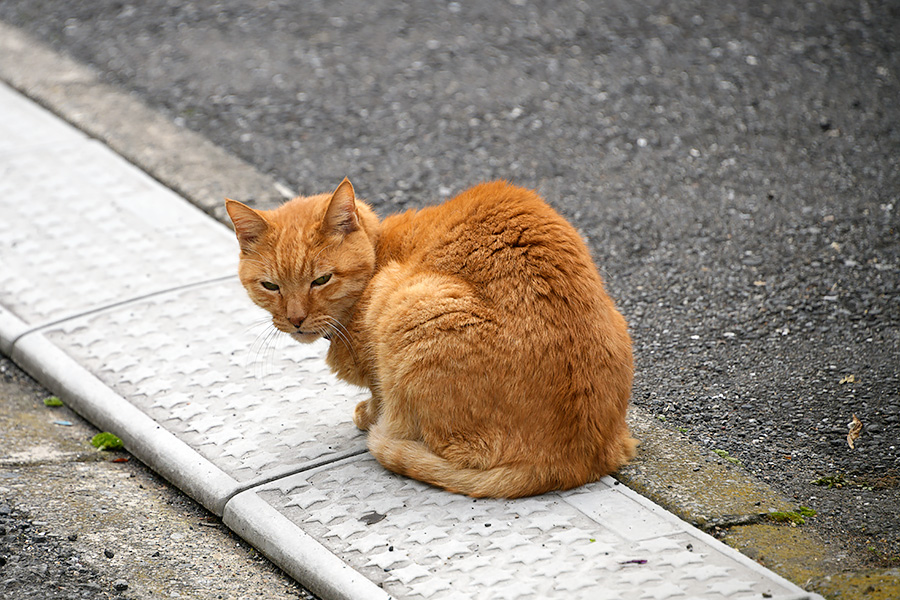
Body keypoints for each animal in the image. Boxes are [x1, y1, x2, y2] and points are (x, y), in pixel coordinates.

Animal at [225, 178, 636, 496]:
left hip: (406, 304)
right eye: (270, 286)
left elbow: (380, 393)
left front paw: (368, 414)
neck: (380, 253)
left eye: (322, 279)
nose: (295, 319)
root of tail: (575, 461)